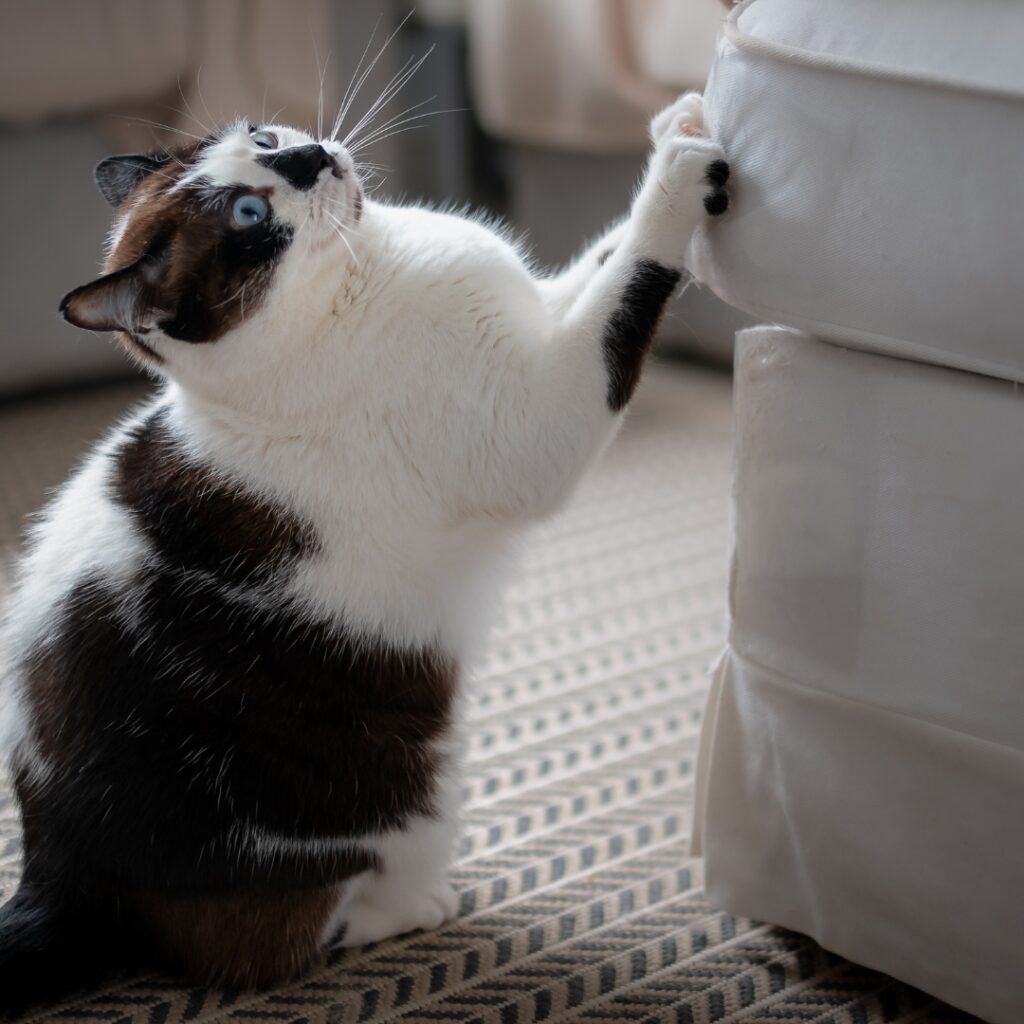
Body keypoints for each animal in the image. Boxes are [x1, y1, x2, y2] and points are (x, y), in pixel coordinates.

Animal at [0, 92, 729, 1011]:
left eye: (265, 141)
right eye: (248, 218)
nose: (308, 157)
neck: (366, 272)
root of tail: (52, 865)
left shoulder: (539, 310)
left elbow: (600, 259)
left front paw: (679, 126)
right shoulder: (538, 418)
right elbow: (627, 286)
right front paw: (680, 178)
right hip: (403, 803)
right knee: (295, 936)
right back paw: (416, 908)